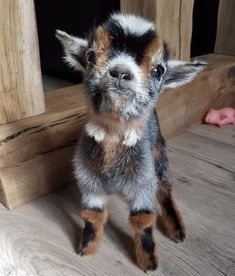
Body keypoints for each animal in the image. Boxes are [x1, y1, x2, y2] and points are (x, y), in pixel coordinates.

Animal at [56, 13, 207, 272]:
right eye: (90, 56)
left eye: (158, 70)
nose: (120, 73)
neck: (114, 134)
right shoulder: (88, 181)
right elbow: (92, 214)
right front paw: (87, 248)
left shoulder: (143, 182)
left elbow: (143, 220)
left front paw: (149, 261)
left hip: (158, 153)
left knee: (164, 187)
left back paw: (176, 229)